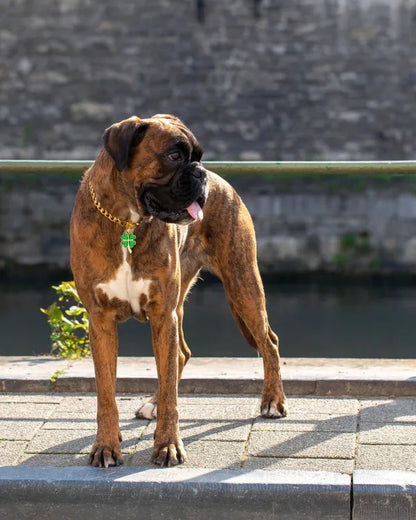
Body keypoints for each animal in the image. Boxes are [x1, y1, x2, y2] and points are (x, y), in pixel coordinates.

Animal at [70, 114, 286, 468]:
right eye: (174, 155)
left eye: (198, 155)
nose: (200, 173)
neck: (127, 221)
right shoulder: (100, 320)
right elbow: (106, 392)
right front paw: (106, 446)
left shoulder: (162, 315)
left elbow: (170, 387)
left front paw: (168, 445)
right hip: (188, 303)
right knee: (182, 354)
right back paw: (152, 404)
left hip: (242, 283)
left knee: (269, 342)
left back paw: (272, 401)